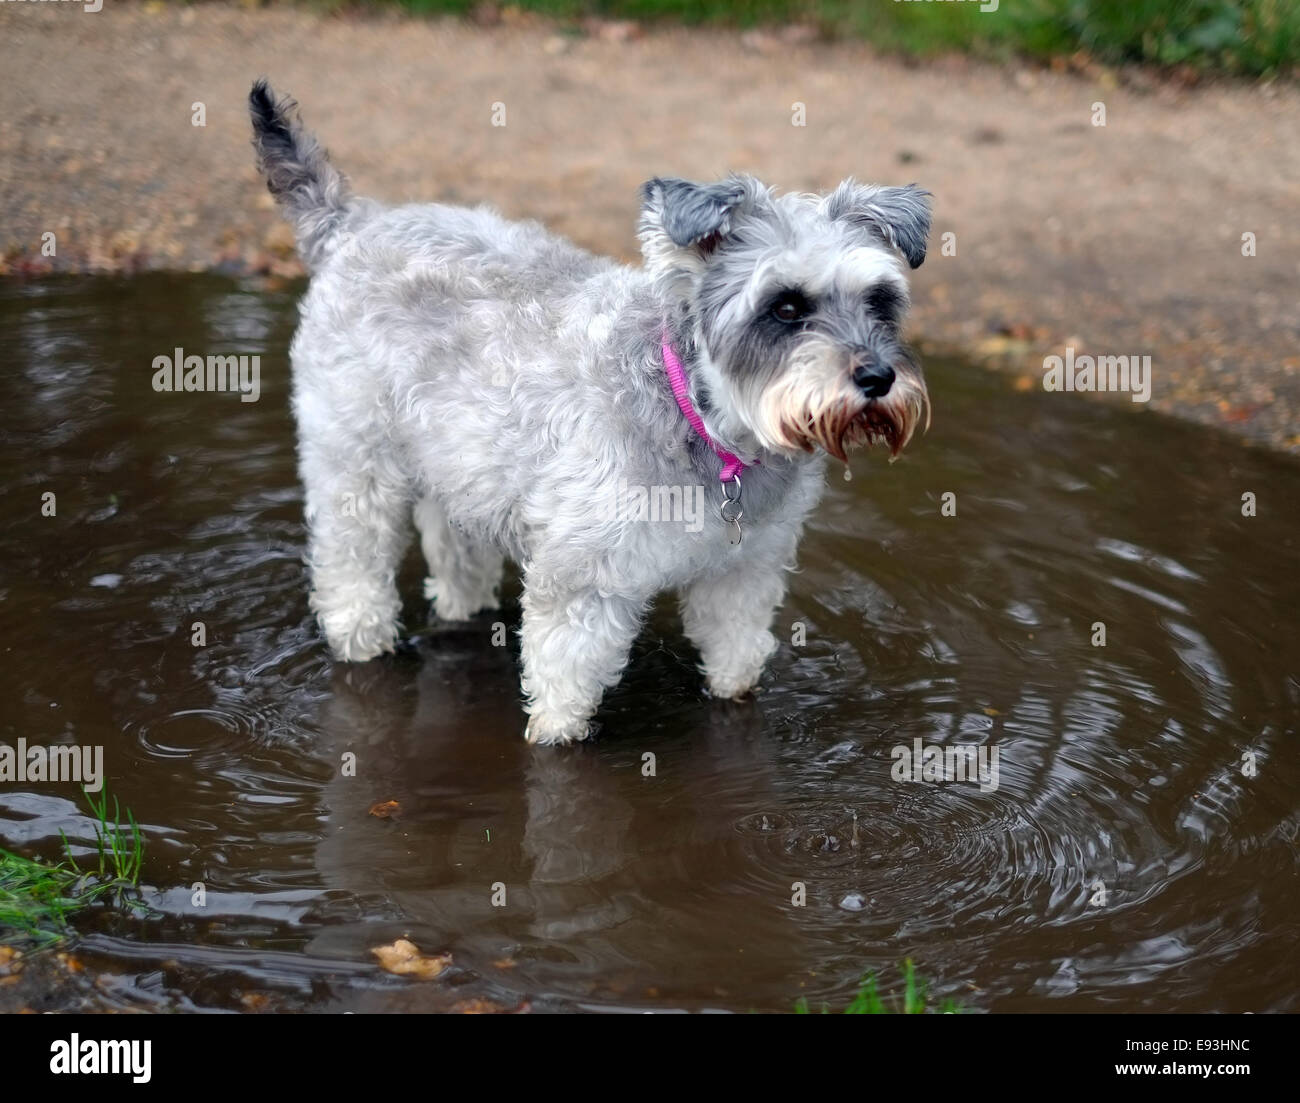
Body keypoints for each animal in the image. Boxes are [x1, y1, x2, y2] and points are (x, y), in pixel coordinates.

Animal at [248, 81, 930, 744]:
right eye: (785, 308)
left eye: (880, 299)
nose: (877, 377)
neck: (703, 421)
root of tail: (353, 223)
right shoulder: (584, 577)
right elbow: (565, 683)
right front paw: (555, 737)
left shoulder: (744, 573)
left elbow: (735, 655)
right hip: (354, 462)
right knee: (351, 555)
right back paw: (361, 637)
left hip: (461, 465)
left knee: (455, 548)